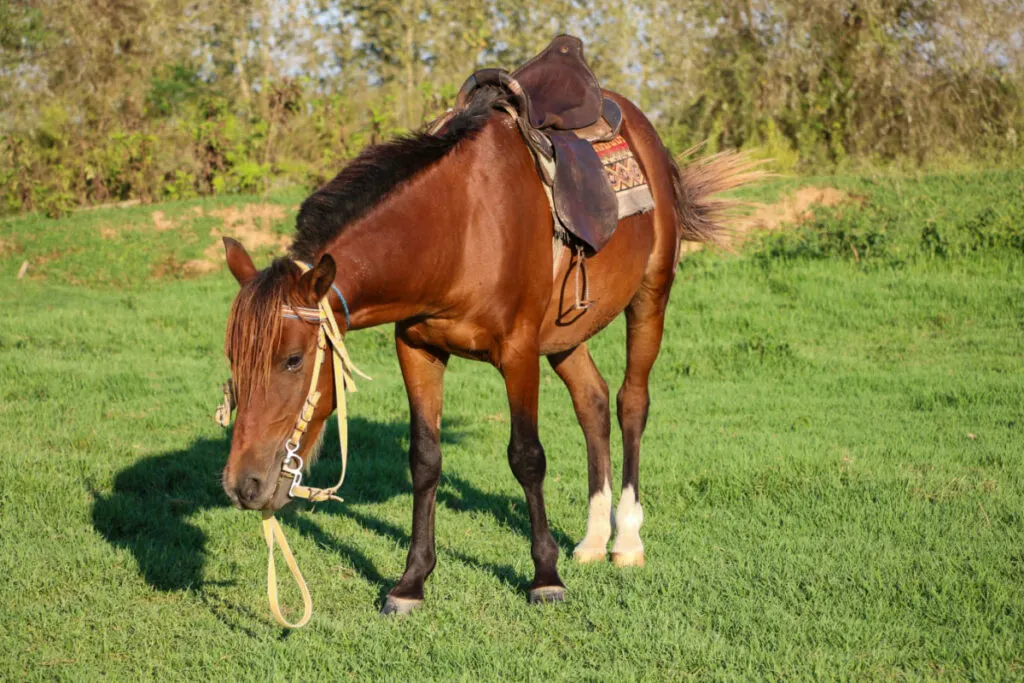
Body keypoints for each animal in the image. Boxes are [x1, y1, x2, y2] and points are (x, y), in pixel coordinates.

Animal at [222, 83, 753, 614]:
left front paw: (545, 577)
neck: (458, 230)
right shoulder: (416, 350)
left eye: (293, 360)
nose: (242, 485)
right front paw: (412, 581)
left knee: (631, 405)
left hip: (650, 298)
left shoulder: (518, 354)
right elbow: (425, 460)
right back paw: (592, 539)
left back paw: (625, 540)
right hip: (565, 337)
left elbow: (527, 457)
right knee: (593, 403)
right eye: (233, 360)